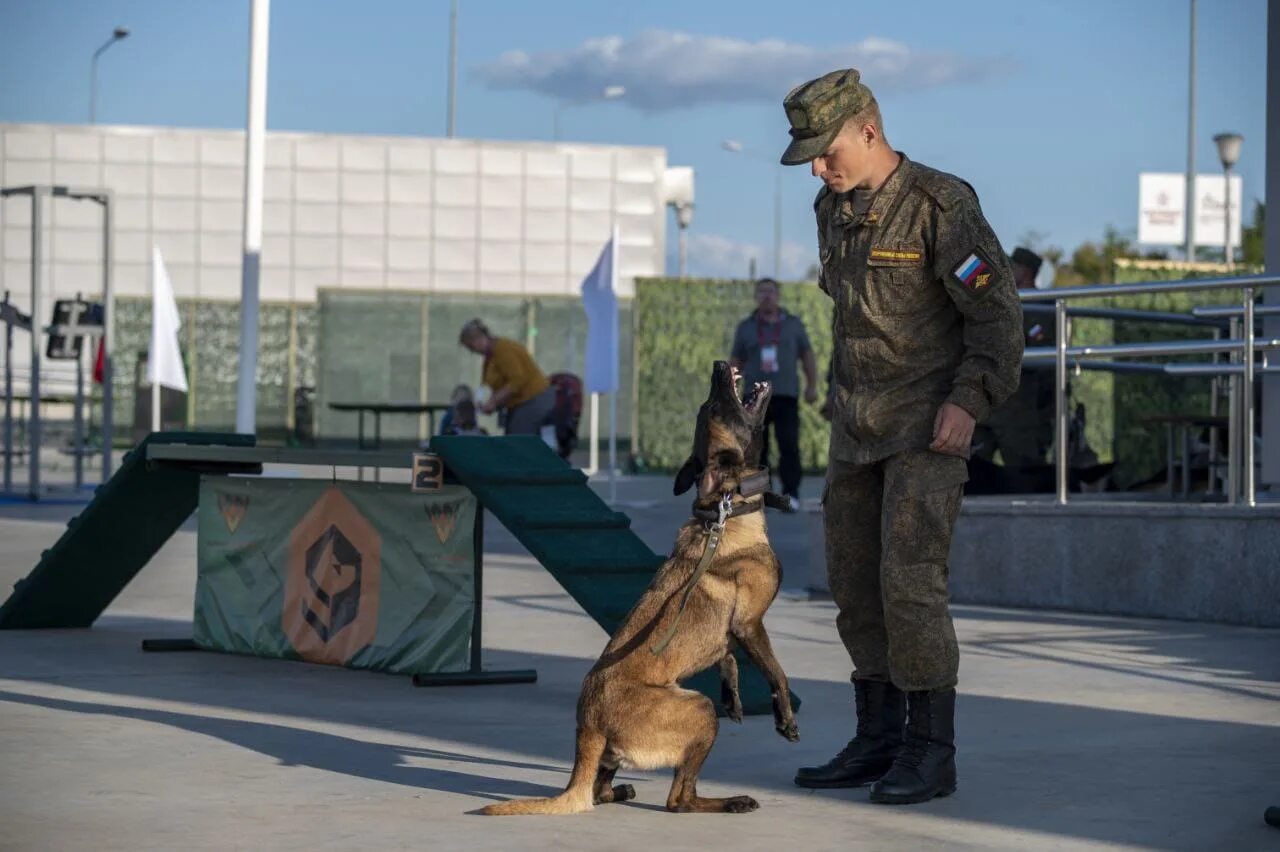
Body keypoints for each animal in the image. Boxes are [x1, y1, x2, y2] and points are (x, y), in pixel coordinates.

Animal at [481, 358, 798, 808]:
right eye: (714, 408)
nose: (719, 364)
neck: (728, 511)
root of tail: (588, 726)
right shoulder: (750, 624)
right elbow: (775, 672)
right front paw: (785, 718)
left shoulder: (733, 633)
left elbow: (728, 656)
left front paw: (734, 694)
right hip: (699, 710)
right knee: (679, 800)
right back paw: (731, 802)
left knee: (598, 791)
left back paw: (620, 789)